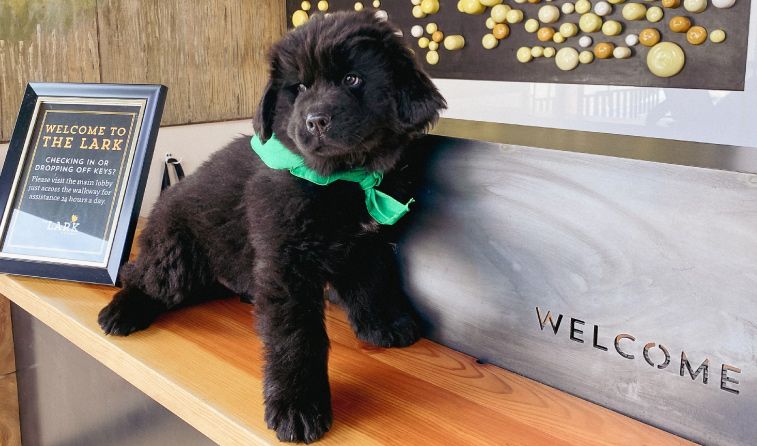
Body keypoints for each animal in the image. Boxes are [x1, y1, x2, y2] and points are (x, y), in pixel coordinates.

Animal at [98, 8, 446, 444]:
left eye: (352, 79)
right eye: (299, 88)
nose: (315, 121)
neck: (340, 179)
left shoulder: (364, 243)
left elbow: (371, 285)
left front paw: (383, 324)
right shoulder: (286, 262)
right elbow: (296, 336)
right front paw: (298, 407)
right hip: (173, 254)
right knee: (141, 275)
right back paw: (121, 312)